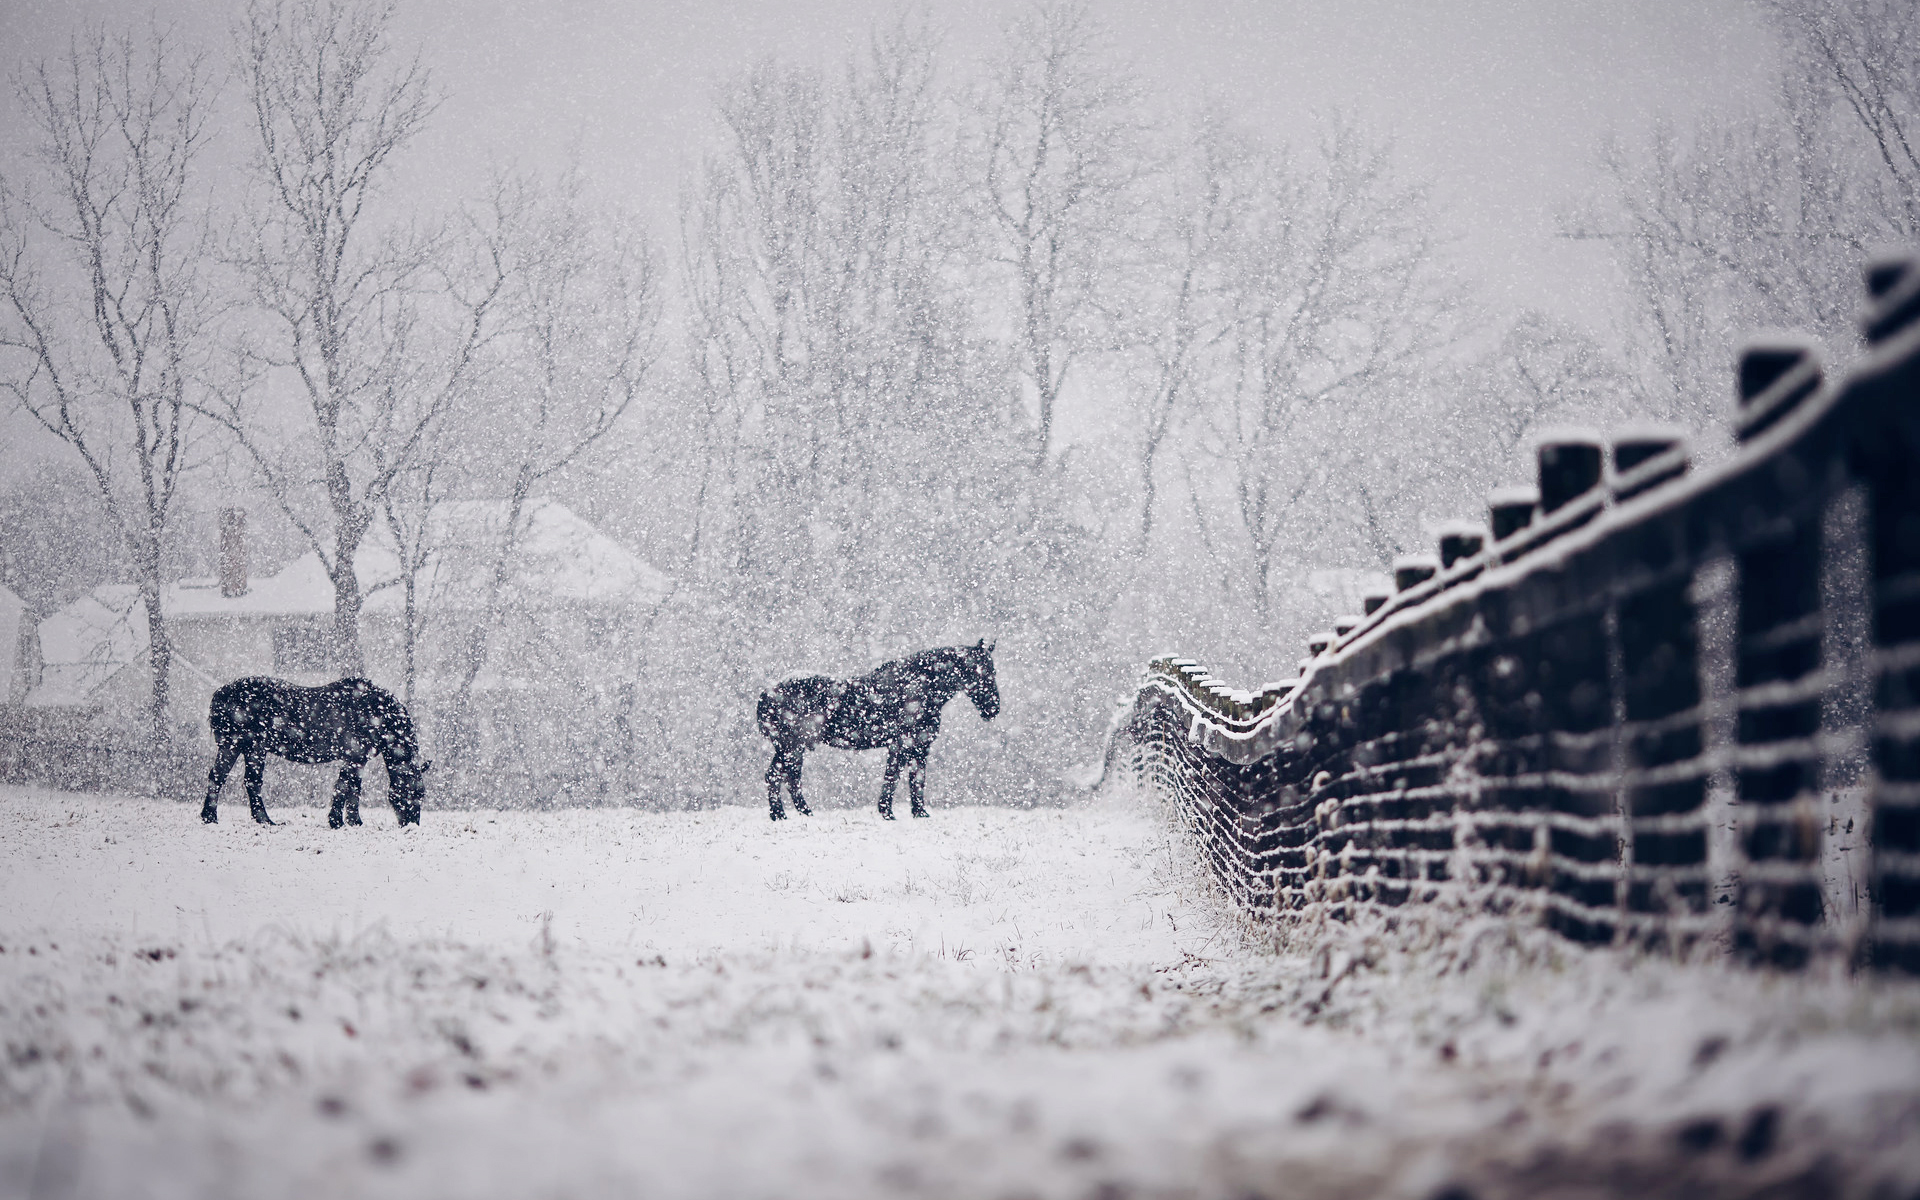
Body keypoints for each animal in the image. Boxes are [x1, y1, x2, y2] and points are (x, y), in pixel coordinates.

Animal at [202, 679, 428, 829]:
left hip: (249, 748)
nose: (412, 825)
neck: (375, 712)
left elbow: (354, 789)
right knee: (225, 778)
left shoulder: (358, 759)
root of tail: (220, 693)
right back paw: (215, 817)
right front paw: (336, 821)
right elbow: (343, 787)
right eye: (412, 792)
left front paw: (354, 821)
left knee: (243, 781)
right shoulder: (353, 757)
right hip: (238, 745)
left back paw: (256, 819)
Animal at [752, 637, 1006, 821]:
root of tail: (766, 693)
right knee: (779, 776)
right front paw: (888, 813)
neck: (919, 689)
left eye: (993, 672)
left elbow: (916, 780)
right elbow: (893, 778)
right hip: (791, 746)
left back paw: (798, 814)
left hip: (793, 748)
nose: (993, 710)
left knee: (786, 778)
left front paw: (919, 813)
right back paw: (784, 815)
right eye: (980, 672)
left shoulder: (919, 746)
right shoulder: (902, 744)